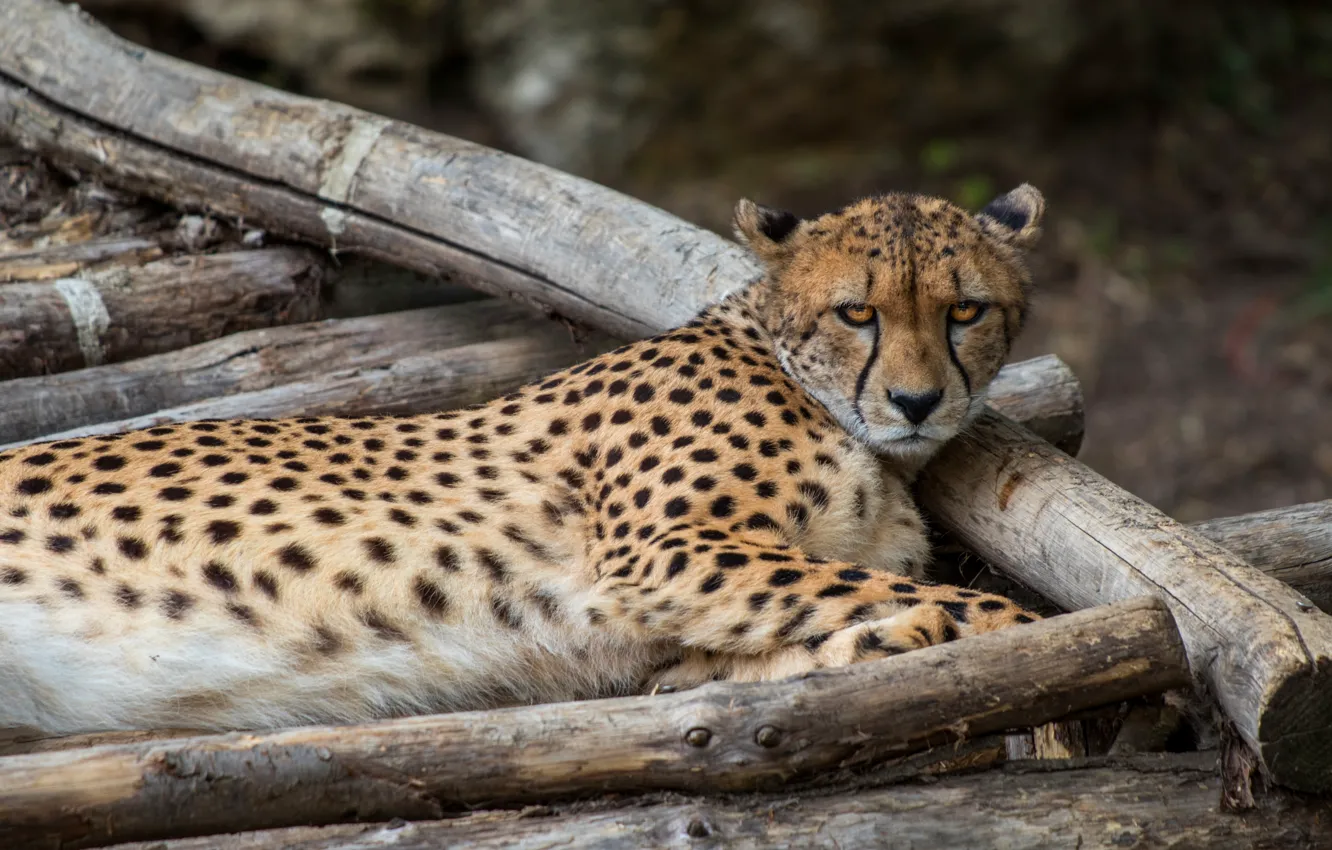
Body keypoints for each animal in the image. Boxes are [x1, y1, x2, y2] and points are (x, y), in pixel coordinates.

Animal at [0, 184, 1046, 734]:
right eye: (857, 312)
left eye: (965, 310)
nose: (917, 402)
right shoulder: (667, 553)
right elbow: (984, 609)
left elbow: (783, 645)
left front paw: (869, 642)